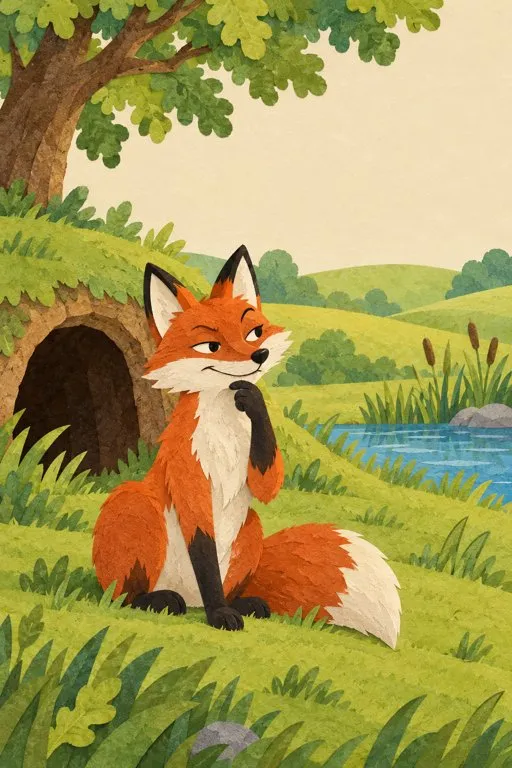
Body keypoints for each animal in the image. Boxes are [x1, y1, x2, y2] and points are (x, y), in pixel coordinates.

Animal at [92, 245, 401, 647]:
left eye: (254, 332)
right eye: (210, 346)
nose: (258, 357)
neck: (226, 429)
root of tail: (187, 596)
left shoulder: (259, 471)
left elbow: (268, 481)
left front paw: (253, 398)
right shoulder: (189, 481)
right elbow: (204, 556)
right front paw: (219, 615)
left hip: (251, 527)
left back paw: (243, 603)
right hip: (134, 506)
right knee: (124, 595)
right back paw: (162, 600)